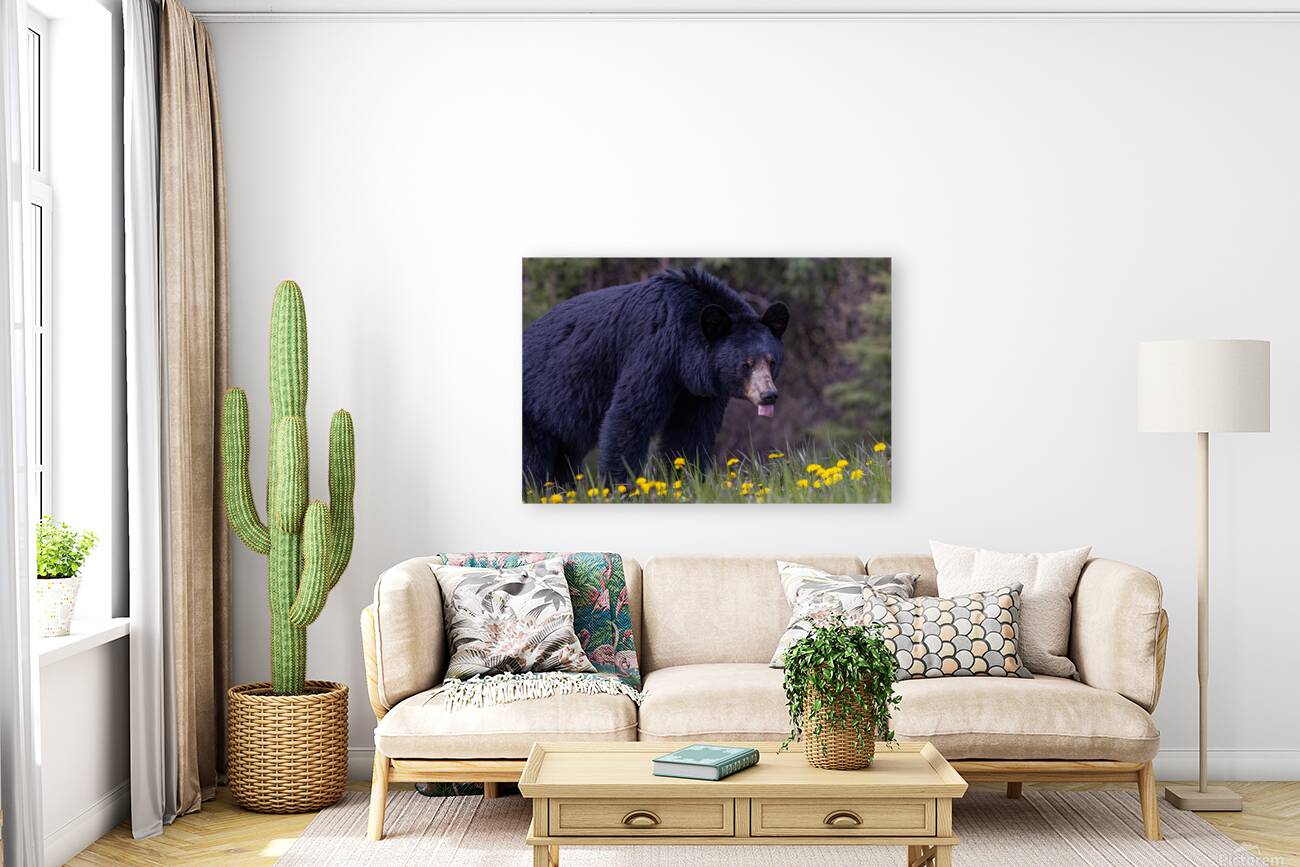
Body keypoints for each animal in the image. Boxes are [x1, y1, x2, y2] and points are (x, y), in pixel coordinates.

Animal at [522, 267, 789, 487]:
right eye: (746, 364)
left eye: (771, 361)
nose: (768, 395)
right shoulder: (652, 351)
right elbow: (630, 417)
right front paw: (621, 488)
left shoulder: (699, 389)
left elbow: (691, 431)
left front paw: (686, 481)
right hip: (535, 407)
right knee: (532, 461)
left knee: (565, 458)